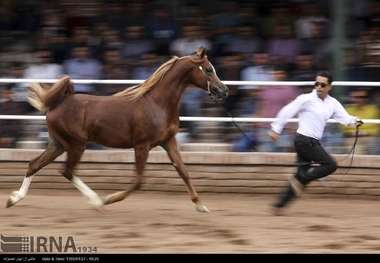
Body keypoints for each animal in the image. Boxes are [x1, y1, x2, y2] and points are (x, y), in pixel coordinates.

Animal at [5, 47, 229, 212]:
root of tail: (56, 104)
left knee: (35, 164)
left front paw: (201, 205)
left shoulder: (168, 141)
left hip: (59, 144)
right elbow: (138, 180)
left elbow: (184, 171)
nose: (224, 90)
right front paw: (110, 199)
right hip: (76, 144)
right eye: (208, 69)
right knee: (67, 171)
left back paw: (13, 199)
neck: (157, 103)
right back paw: (96, 201)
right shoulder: (142, 146)